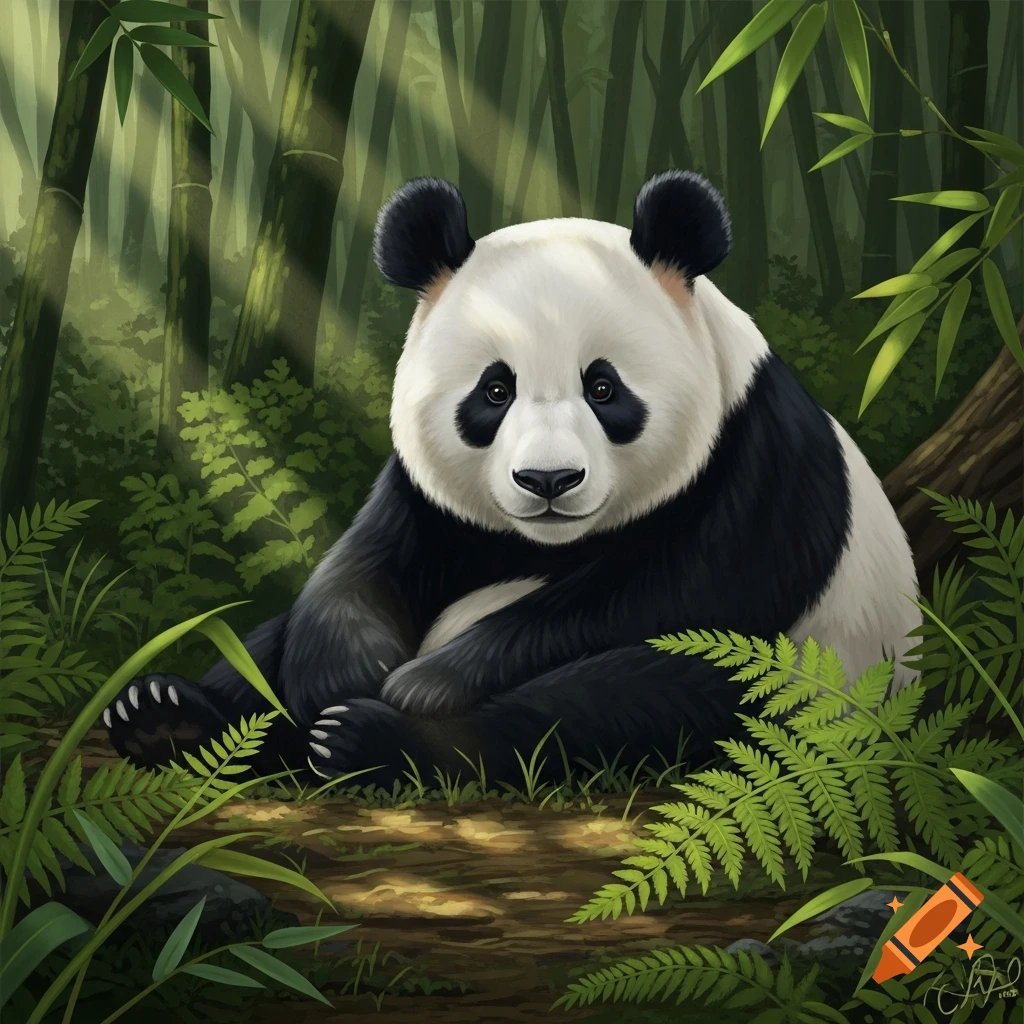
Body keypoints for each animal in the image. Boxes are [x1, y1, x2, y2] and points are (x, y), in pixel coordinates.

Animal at [104, 171, 921, 786]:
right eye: (494, 390)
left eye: (604, 387)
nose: (548, 480)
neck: (553, 546)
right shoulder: (426, 502)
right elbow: (362, 564)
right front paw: (341, 672)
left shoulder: (757, 463)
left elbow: (669, 592)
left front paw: (423, 682)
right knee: (266, 642)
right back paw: (165, 717)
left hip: (805, 678)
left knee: (627, 705)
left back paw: (371, 743)